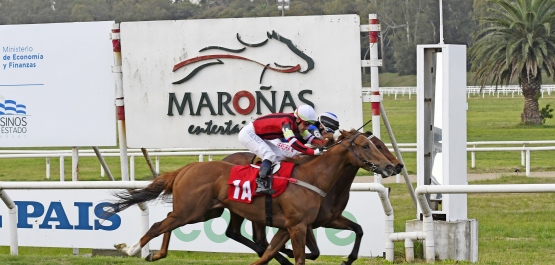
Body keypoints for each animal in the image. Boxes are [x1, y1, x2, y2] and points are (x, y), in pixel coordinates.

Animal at [109, 128, 396, 264]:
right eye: (367, 146)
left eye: (378, 144)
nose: (392, 167)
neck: (314, 176)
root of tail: (187, 167)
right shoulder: (299, 225)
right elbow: (300, 255)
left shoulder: (302, 224)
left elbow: (356, 230)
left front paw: (347, 259)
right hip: (192, 210)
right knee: (159, 224)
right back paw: (132, 249)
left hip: (203, 212)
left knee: (169, 221)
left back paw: (154, 254)